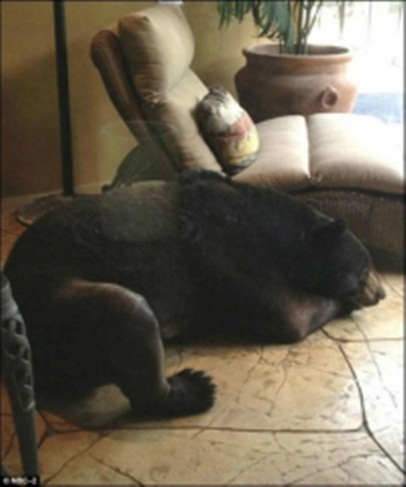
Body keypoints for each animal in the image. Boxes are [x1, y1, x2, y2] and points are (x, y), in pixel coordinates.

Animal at [4, 170, 385, 418]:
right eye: (365, 268)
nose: (382, 292)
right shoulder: (228, 250)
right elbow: (289, 315)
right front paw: (343, 301)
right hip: (52, 301)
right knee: (127, 309)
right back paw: (190, 390)